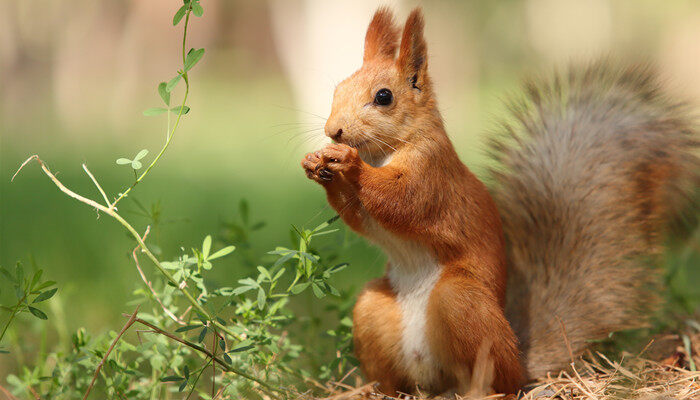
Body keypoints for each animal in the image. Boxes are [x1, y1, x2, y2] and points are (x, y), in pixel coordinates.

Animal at [300, 6, 700, 396]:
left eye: (384, 97)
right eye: (339, 89)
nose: (333, 131)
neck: (385, 153)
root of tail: (521, 360)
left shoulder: (432, 175)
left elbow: (400, 201)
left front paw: (348, 164)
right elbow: (360, 217)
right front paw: (316, 164)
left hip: (462, 304)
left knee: (499, 379)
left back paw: (483, 390)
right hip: (373, 310)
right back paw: (374, 390)